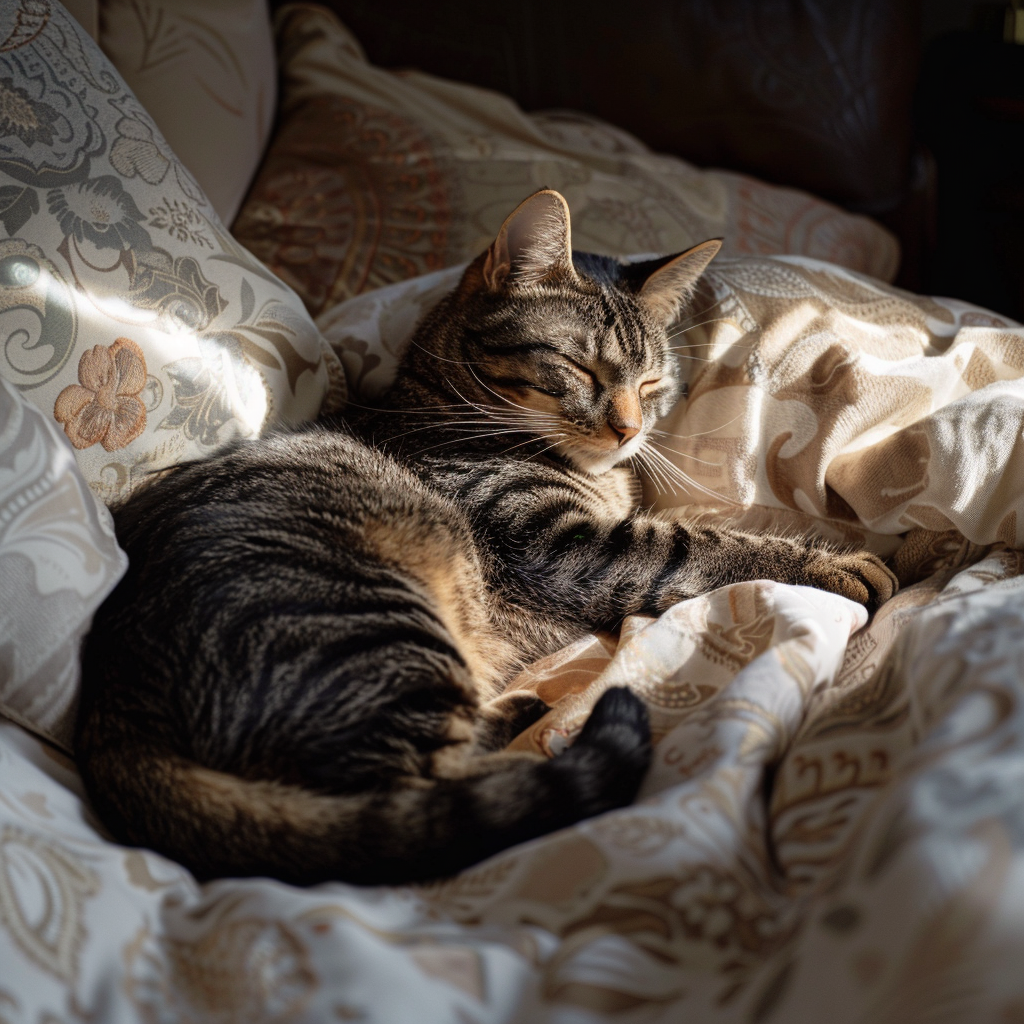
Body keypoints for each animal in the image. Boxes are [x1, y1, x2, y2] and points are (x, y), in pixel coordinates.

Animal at [77, 188, 897, 884]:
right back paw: (539, 730)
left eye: (653, 385)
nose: (630, 430)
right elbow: (700, 545)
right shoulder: (565, 542)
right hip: (373, 623)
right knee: (419, 801)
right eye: (578, 368)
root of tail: (110, 706)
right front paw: (847, 566)